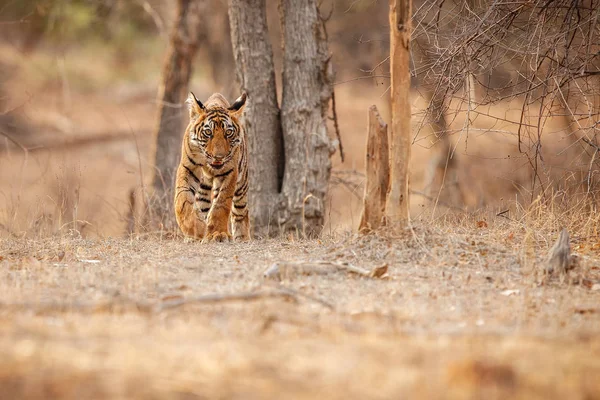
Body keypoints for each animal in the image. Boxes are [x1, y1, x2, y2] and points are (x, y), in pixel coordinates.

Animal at [173, 92, 251, 242]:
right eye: (208, 132)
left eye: (228, 133)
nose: (218, 157)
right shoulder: (188, 167)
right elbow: (182, 200)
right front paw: (196, 230)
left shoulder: (230, 172)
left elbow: (221, 204)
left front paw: (218, 233)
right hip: (203, 189)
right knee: (203, 205)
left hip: (241, 186)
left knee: (240, 212)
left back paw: (242, 238)